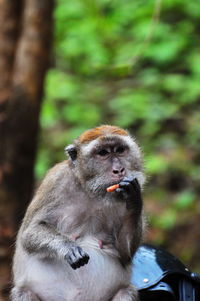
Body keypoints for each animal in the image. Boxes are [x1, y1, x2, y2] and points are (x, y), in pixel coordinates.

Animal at [10, 124, 145, 300]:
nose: (119, 170)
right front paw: (68, 247)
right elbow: (30, 232)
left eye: (120, 150)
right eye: (103, 153)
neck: (90, 191)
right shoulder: (55, 181)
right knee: (23, 292)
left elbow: (125, 253)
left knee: (126, 291)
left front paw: (134, 198)